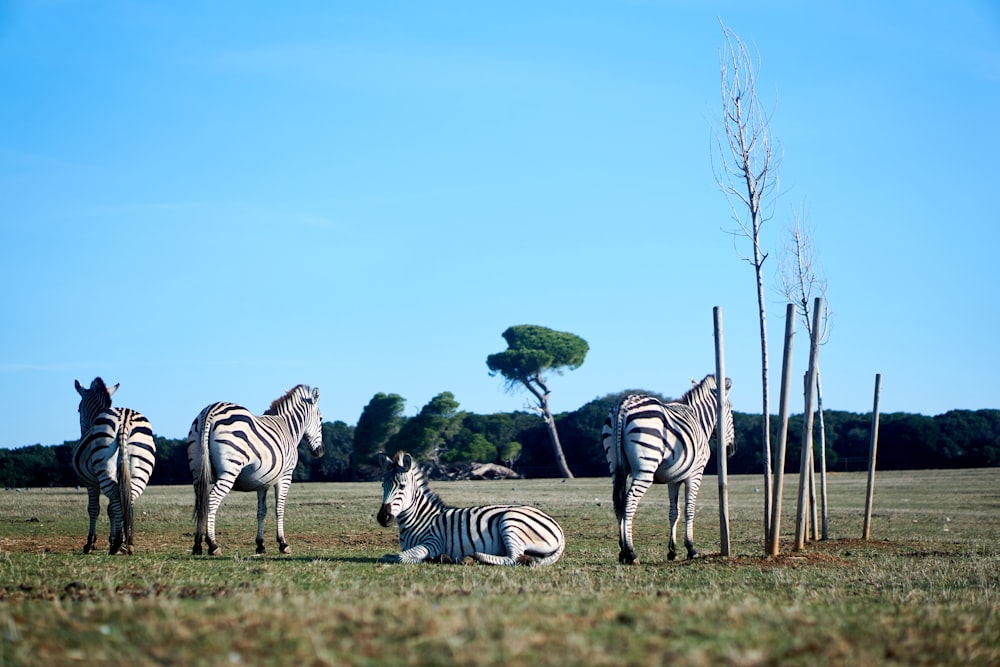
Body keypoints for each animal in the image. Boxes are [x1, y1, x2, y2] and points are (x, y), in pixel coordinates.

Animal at [72, 378, 156, 556]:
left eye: (78, 409)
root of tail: (125, 419)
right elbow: (111, 509)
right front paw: (114, 539)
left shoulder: (91, 483)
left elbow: (94, 508)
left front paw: (90, 543)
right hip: (140, 469)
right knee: (128, 499)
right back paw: (127, 543)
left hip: (104, 469)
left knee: (117, 499)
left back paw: (118, 544)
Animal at [188, 384, 324, 556]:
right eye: (321, 419)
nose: (320, 451)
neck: (288, 428)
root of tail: (210, 410)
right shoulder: (285, 476)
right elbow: (279, 508)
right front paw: (283, 543)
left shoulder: (262, 480)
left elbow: (261, 511)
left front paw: (260, 544)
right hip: (229, 470)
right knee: (212, 499)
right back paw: (213, 544)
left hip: (197, 472)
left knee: (201, 501)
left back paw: (197, 545)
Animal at [376, 452, 568, 568]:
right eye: (382, 485)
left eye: (402, 486)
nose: (382, 517)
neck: (419, 519)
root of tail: (557, 526)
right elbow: (388, 556)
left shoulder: (433, 542)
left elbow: (400, 557)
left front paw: (429, 558)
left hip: (510, 521)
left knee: (514, 558)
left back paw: (474, 557)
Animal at [600, 374, 736, 568]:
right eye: (730, 411)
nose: (731, 450)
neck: (699, 419)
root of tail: (623, 405)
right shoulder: (695, 474)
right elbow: (689, 510)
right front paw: (691, 548)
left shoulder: (674, 479)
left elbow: (674, 512)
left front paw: (673, 551)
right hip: (645, 469)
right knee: (629, 502)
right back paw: (631, 552)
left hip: (616, 467)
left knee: (617, 503)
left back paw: (622, 552)